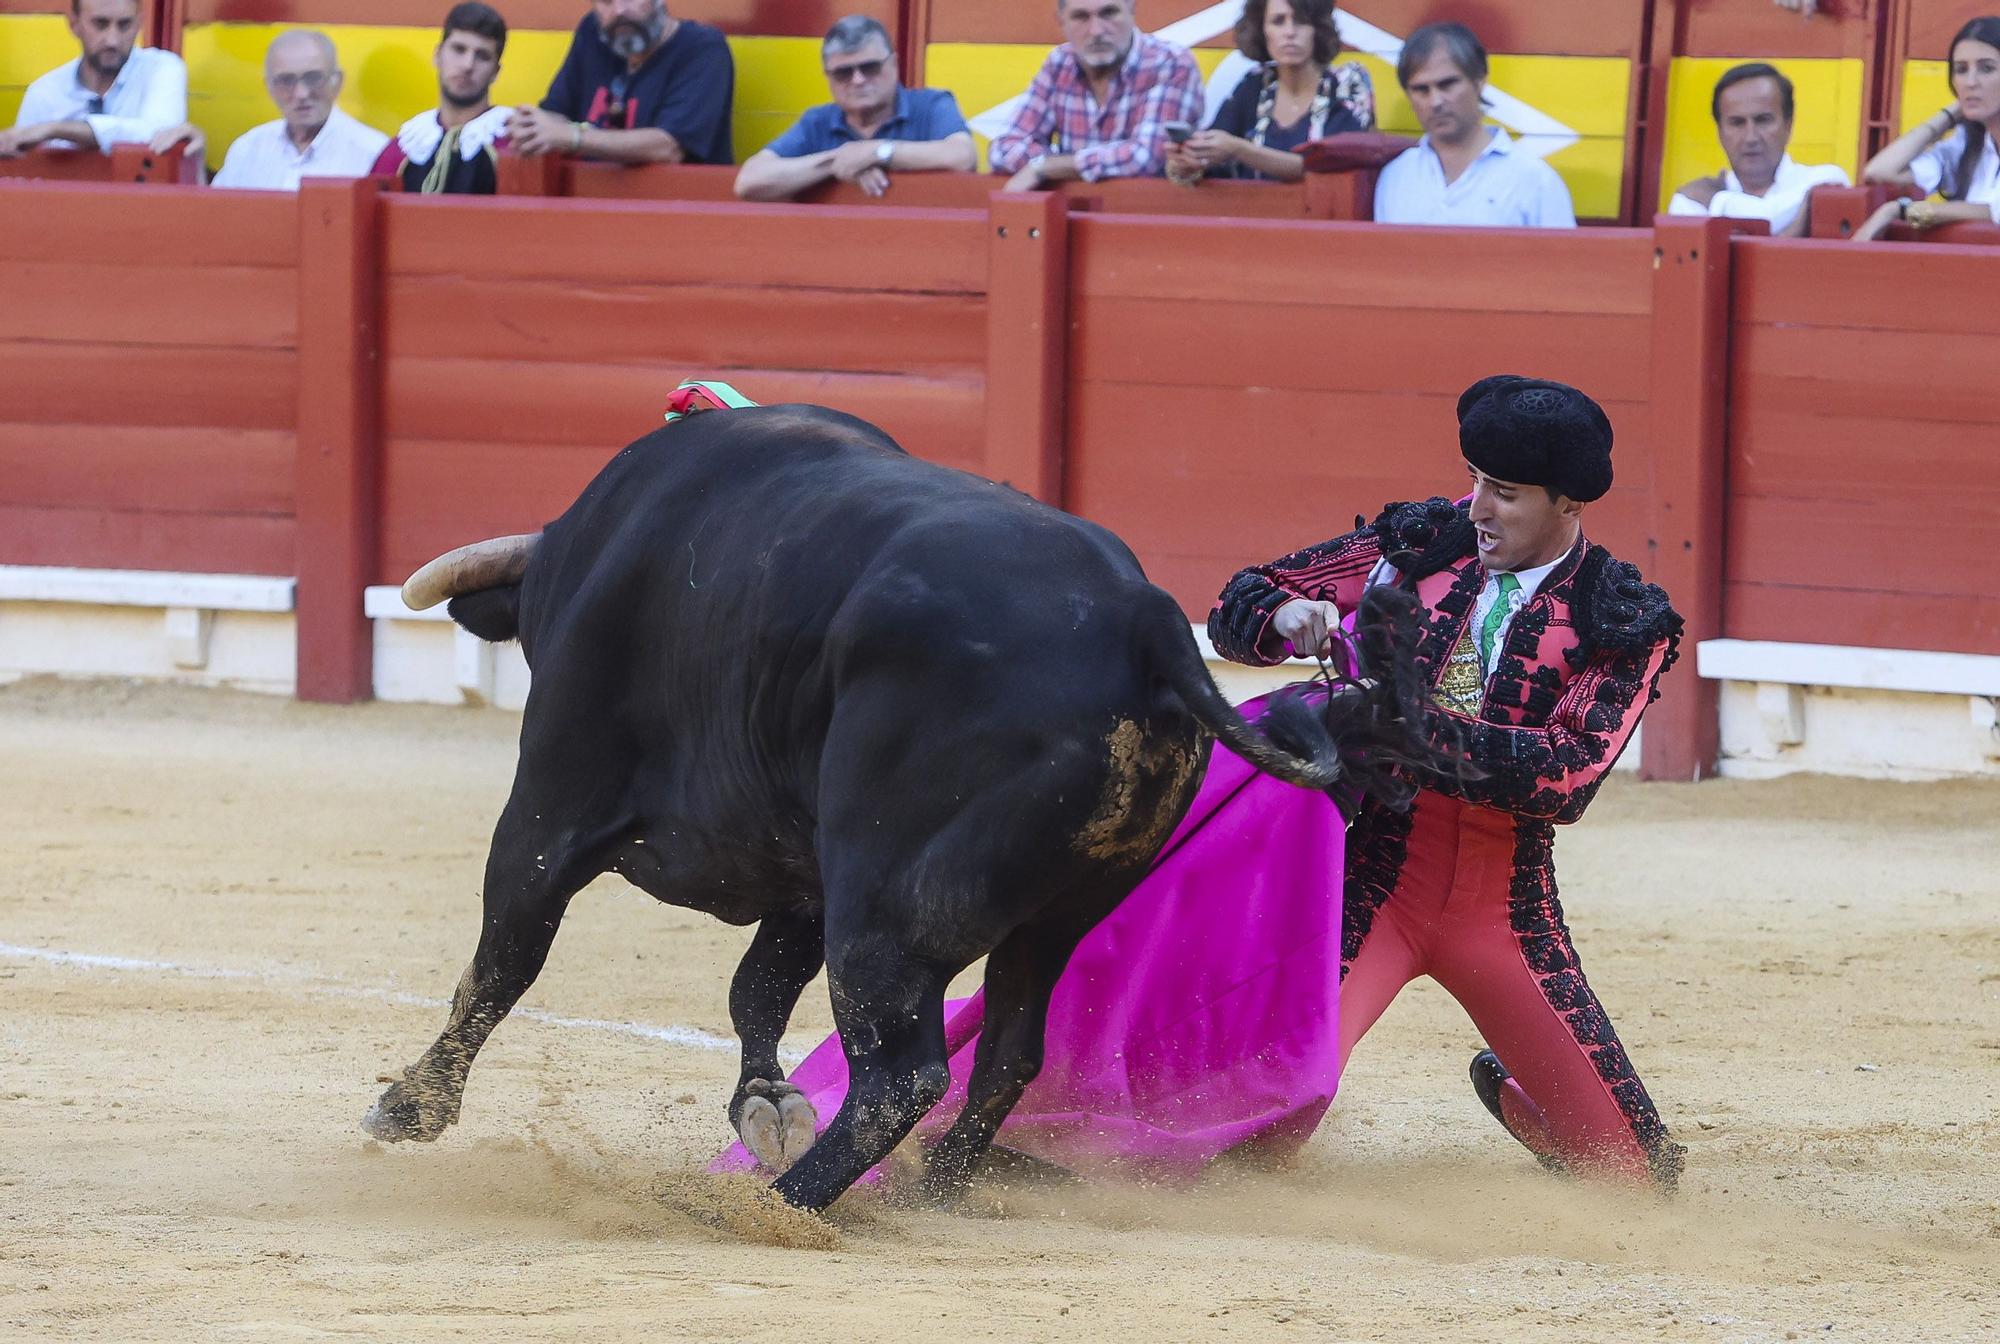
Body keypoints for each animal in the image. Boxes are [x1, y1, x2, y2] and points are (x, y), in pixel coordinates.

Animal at [360, 404, 1424, 1216]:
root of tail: (1146, 620)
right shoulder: (804, 868)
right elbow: (754, 991)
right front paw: (768, 1108)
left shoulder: (550, 808)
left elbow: (503, 960)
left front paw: (408, 1108)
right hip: (1046, 911)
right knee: (1006, 1050)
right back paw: (930, 1189)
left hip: (886, 900)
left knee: (901, 1072)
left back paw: (779, 1205)